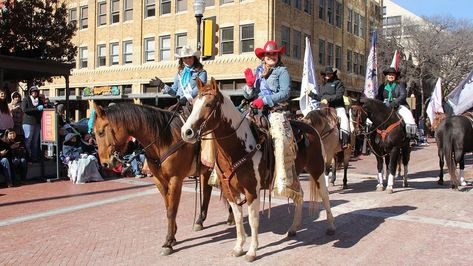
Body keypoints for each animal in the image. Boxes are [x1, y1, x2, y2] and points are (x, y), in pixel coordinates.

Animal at [92, 102, 216, 256]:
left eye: (101, 132)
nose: (104, 164)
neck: (163, 139)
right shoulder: (159, 180)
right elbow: (168, 206)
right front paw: (173, 235)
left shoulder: (175, 179)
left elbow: (172, 210)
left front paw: (168, 242)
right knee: (208, 191)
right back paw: (200, 220)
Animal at [179, 78, 334, 262]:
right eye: (194, 102)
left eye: (208, 104)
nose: (186, 132)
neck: (238, 148)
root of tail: (311, 128)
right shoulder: (230, 191)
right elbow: (238, 219)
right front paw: (238, 248)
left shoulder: (252, 191)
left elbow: (253, 220)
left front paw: (252, 251)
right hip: (294, 175)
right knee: (300, 196)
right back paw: (293, 228)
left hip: (317, 170)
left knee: (324, 195)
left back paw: (331, 226)